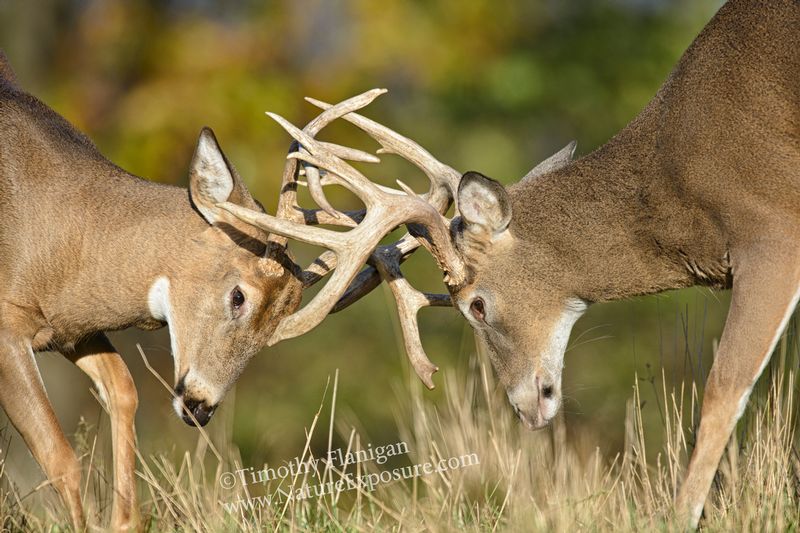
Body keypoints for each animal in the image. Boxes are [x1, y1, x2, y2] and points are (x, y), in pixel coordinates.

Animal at [205, 0, 799, 528]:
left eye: (475, 305)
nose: (526, 408)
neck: (678, 185)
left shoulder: (771, 230)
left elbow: (723, 387)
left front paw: (679, 517)